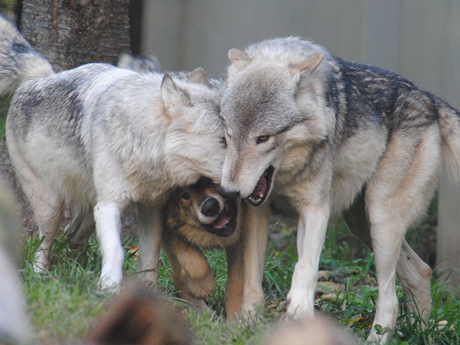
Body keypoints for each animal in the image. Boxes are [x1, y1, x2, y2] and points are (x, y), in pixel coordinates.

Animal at [0, 16, 228, 288]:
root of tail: (38, 77)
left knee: (72, 237)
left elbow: (150, 259)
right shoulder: (109, 205)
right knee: (44, 244)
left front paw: (148, 292)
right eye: (224, 140)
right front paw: (109, 286)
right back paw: (40, 276)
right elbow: (117, 250)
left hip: (88, 211)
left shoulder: (152, 209)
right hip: (52, 206)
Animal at [218, 35, 460, 342]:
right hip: (362, 225)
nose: (229, 191)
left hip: (380, 218)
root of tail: (430, 99)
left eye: (263, 138)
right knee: (422, 272)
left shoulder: (315, 211)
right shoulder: (256, 213)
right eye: (229, 135)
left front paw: (299, 309)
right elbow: (251, 279)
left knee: (391, 299)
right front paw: (246, 325)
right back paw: (420, 333)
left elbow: (305, 266)